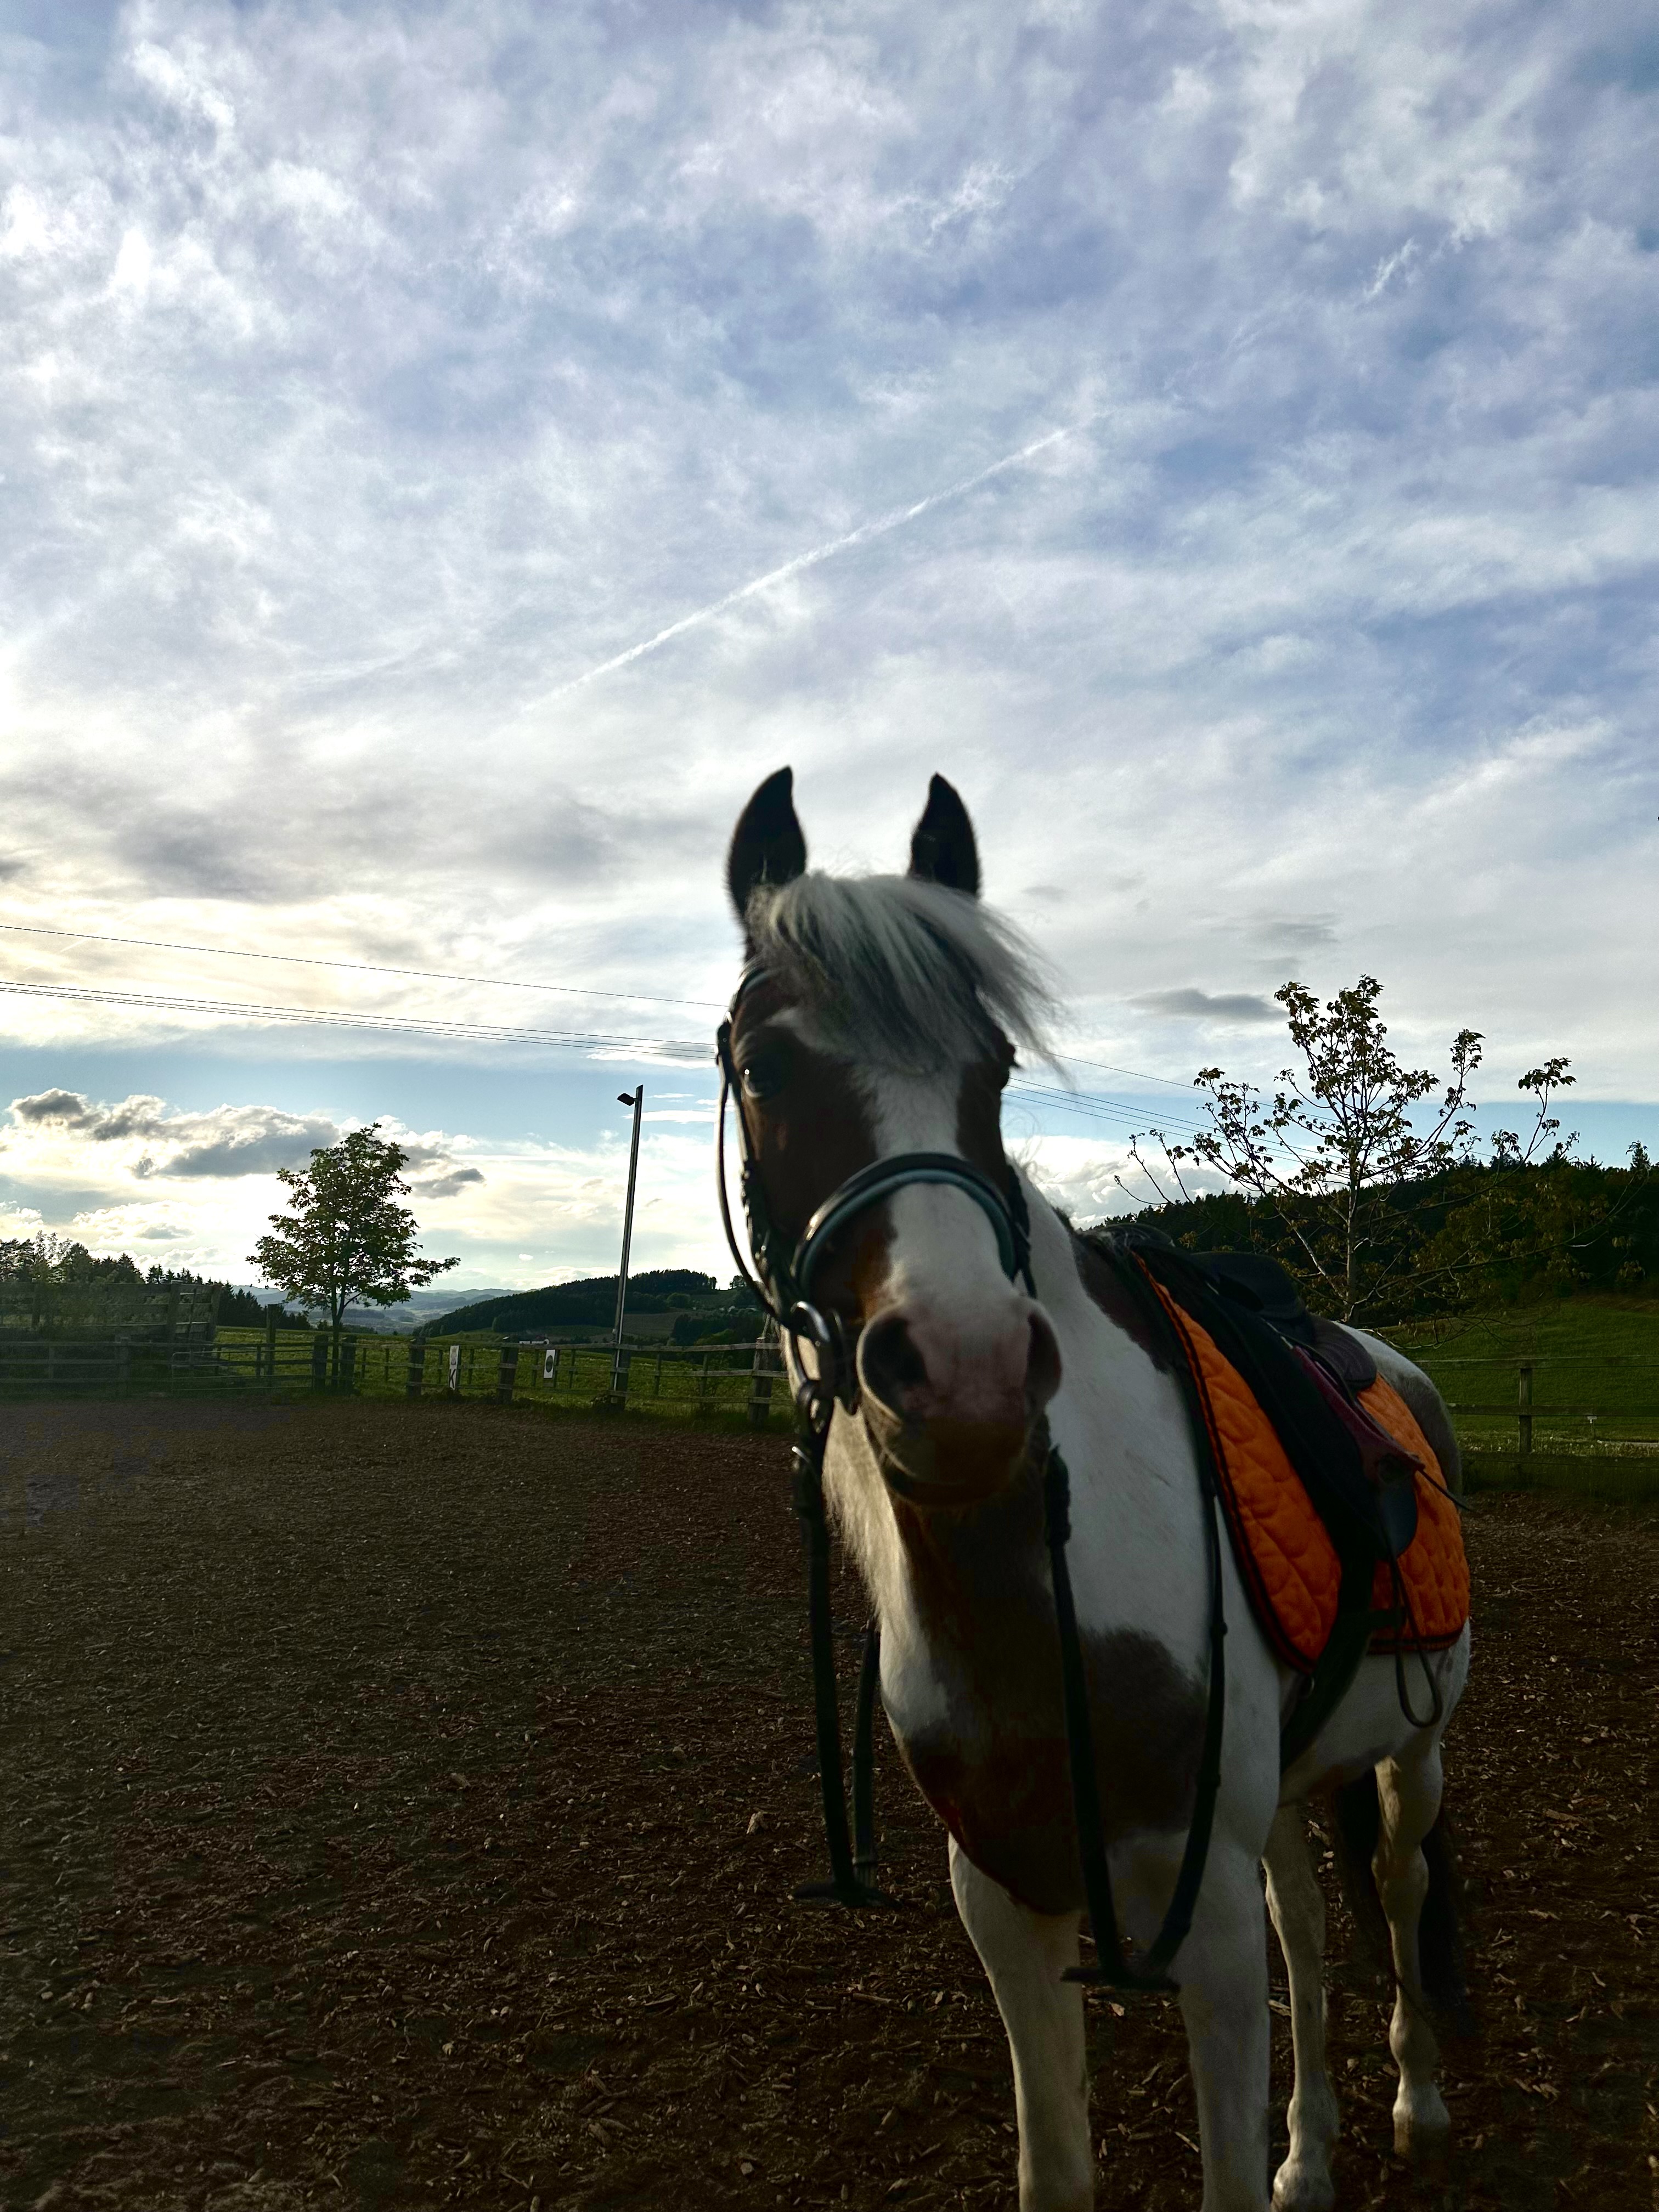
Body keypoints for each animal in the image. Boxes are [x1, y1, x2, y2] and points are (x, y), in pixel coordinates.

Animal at [716, 767, 1472, 2212]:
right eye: (765, 1064)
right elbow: (1055, 2169)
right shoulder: (1006, 1902)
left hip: (1414, 1753)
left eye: (995, 1069)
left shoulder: (1204, 1913)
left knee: (1400, 1897)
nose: (964, 1373)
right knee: (1312, 1923)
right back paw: (1312, 2156)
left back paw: (1416, 2103)